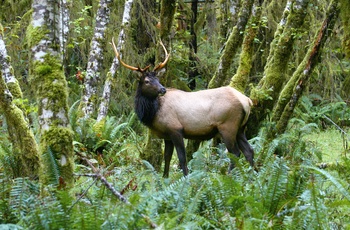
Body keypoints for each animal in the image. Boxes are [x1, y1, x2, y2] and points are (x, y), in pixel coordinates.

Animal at [112, 38, 254, 177]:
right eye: (147, 81)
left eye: (158, 79)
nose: (163, 89)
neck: (153, 112)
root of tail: (247, 101)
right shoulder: (167, 135)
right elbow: (167, 157)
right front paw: (165, 178)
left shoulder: (175, 129)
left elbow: (182, 158)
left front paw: (186, 178)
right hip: (240, 128)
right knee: (249, 150)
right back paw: (253, 176)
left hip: (227, 126)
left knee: (235, 153)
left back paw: (230, 176)